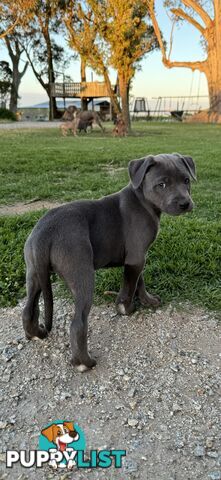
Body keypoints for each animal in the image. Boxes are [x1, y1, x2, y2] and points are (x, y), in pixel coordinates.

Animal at [22, 154, 195, 372]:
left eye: (186, 180)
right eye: (161, 184)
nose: (185, 204)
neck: (142, 200)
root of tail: (45, 232)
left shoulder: (137, 256)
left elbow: (139, 281)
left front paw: (147, 301)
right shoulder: (136, 258)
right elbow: (130, 285)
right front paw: (126, 309)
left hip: (34, 273)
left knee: (28, 310)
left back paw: (36, 333)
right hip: (83, 275)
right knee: (78, 324)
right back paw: (84, 363)